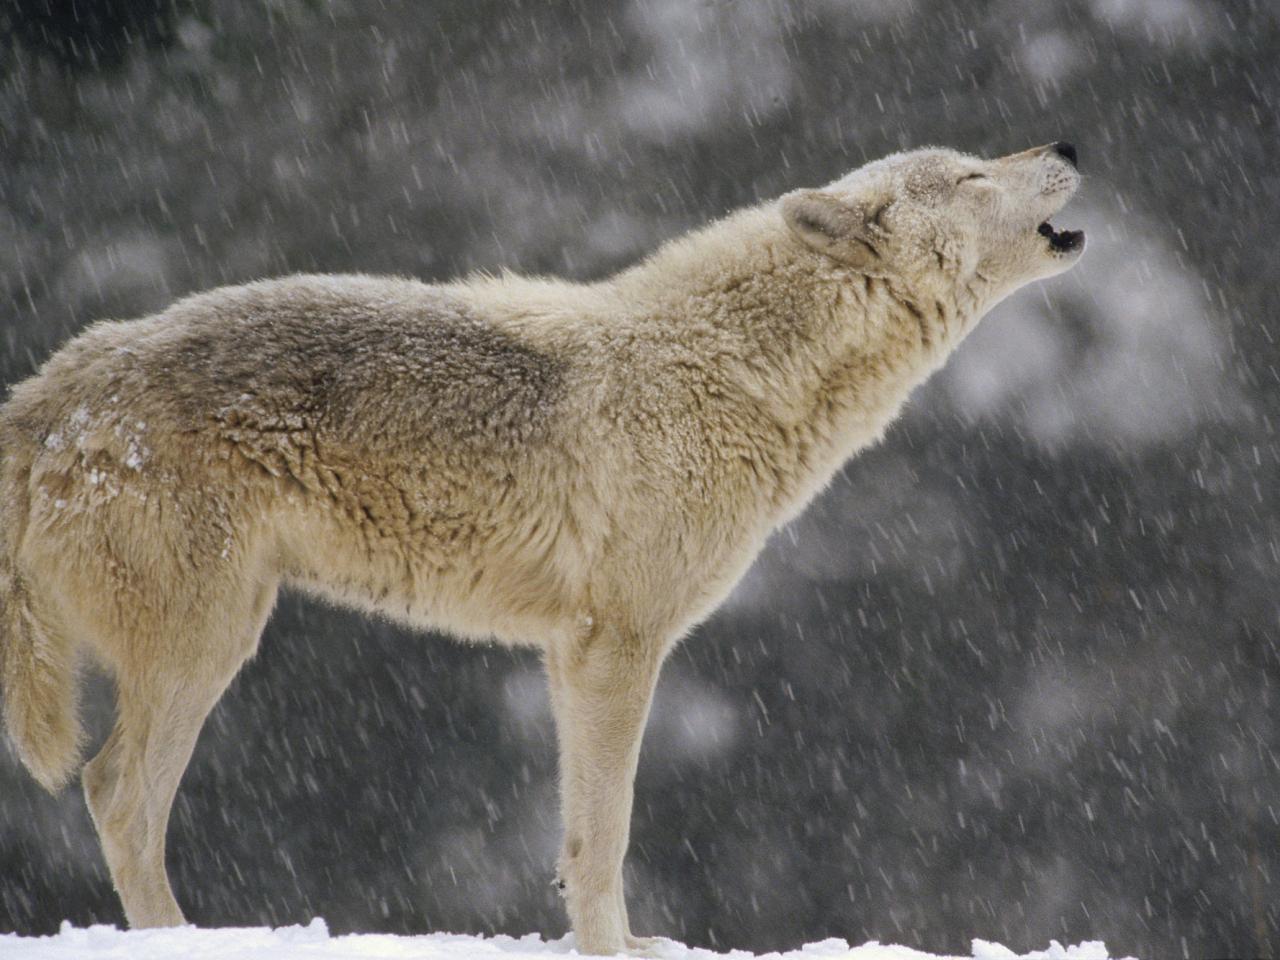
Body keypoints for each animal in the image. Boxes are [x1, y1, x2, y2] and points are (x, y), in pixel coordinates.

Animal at [0, 140, 1085, 957]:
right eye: (973, 173)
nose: (1068, 146)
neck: (728, 370)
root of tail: (58, 384)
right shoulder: (620, 645)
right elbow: (609, 831)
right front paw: (614, 951)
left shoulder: (571, 653)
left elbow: (574, 838)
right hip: (209, 643)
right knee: (115, 793)